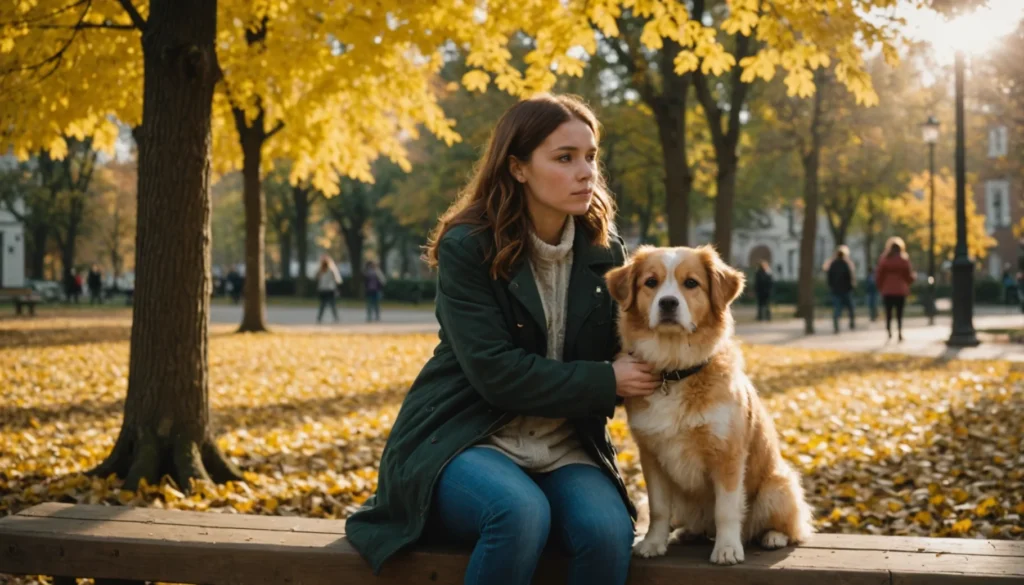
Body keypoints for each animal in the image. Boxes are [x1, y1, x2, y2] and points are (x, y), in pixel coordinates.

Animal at [602, 244, 811, 565]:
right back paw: (687, 533)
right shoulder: (652, 456)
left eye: (691, 283)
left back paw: (773, 536)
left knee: (789, 527)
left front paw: (727, 548)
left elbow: (726, 509)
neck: (675, 369)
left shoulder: (727, 456)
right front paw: (653, 543)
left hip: (777, 487)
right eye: (651, 282)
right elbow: (659, 508)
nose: (668, 303)